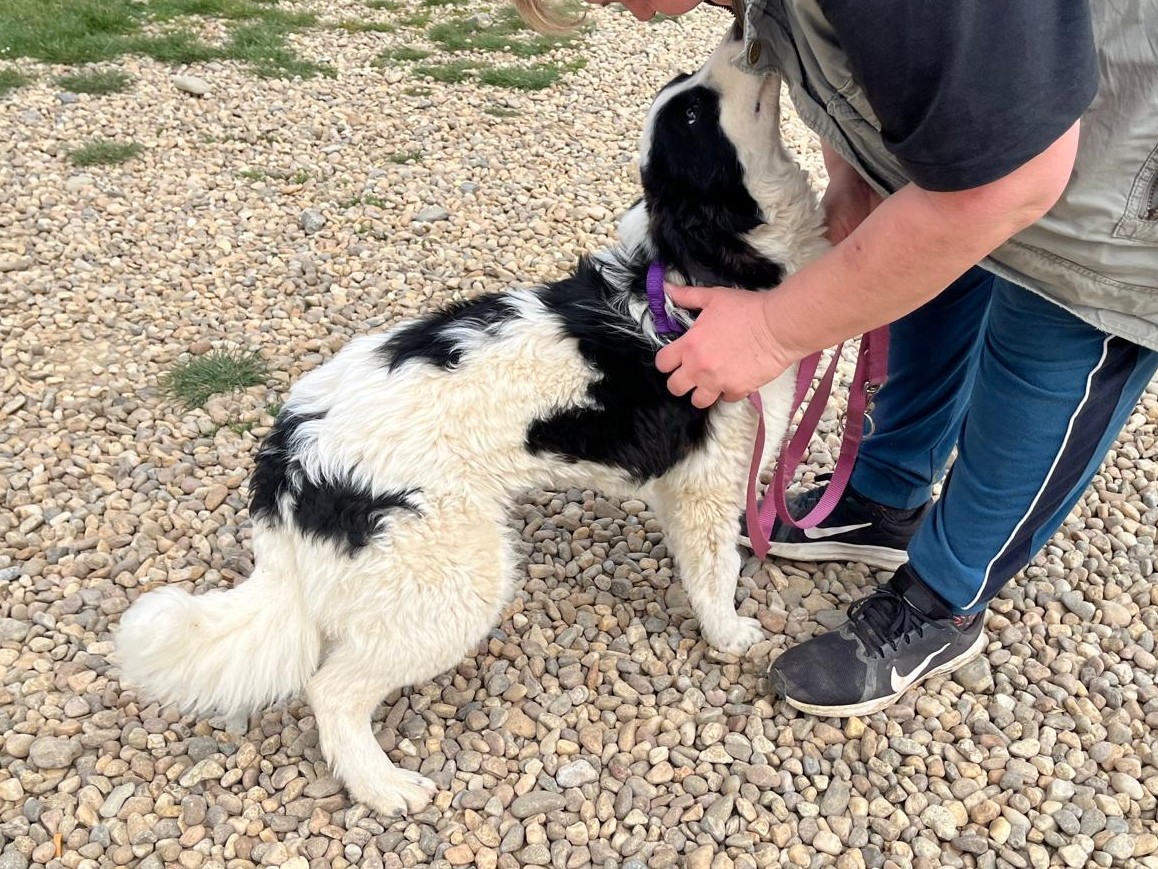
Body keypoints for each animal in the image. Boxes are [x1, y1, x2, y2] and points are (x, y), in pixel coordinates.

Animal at [116, 27, 828, 817]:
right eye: (696, 115)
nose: (739, 30)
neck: (693, 270)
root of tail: (287, 459)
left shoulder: (682, 481)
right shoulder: (712, 478)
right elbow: (715, 569)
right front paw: (731, 633)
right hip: (457, 578)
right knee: (331, 690)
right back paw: (385, 788)